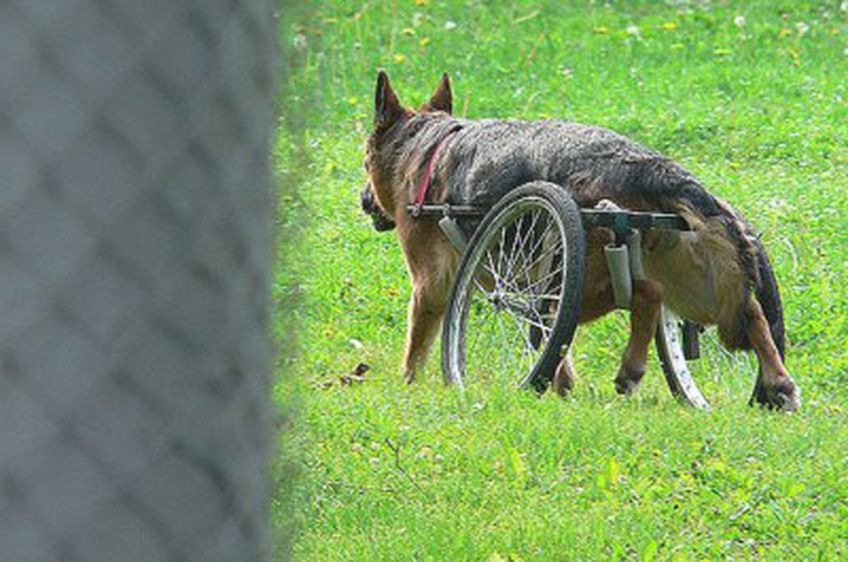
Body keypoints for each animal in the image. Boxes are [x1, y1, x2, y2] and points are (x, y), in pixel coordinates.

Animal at [362, 72, 800, 410]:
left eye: (364, 161)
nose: (364, 200)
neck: (428, 146)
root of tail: (655, 170)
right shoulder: (529, 288)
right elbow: (552, 340)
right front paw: (562, 384)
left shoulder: (433, 284)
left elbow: (418, 341)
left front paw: (409, 384)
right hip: (689, 273)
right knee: (742, 311)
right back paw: (776, 381)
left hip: (587, 269)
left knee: (647, 292)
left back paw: (631, 368)